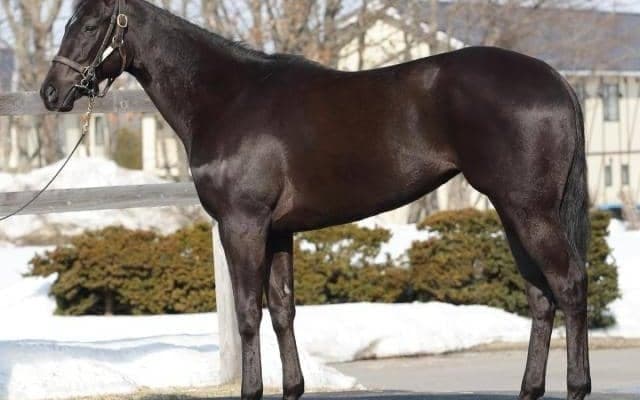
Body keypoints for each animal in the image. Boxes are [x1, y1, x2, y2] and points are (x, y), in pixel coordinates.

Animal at [41, 1, 591, 399]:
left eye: (90, 24)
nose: (51, 92)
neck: (228, 98)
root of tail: (559, 81)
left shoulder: (242, 225)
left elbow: (248, 312)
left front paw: (251, 391)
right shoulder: (279, 231)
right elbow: (283, 310)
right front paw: (292, 388)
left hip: (529, 211)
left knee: (569, 285)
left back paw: (577, 386)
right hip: (512, 212)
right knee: (541, 297)